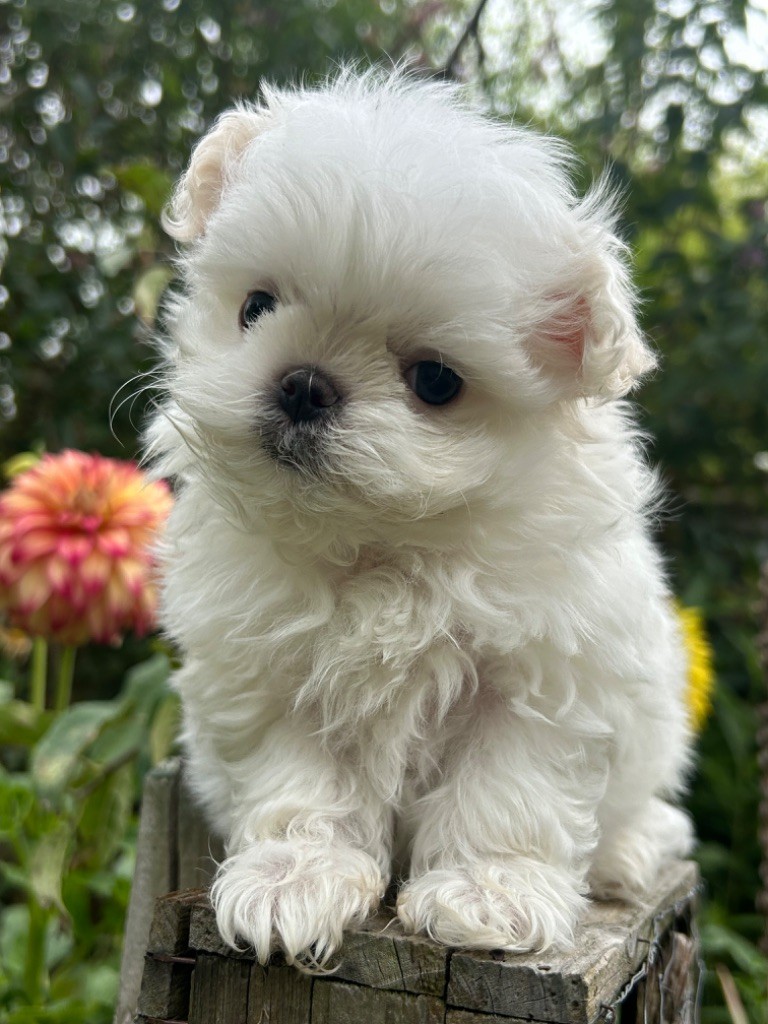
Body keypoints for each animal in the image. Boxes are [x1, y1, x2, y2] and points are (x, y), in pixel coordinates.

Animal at [147, 70, 696, 966]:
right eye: (255, 306)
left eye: (436, 382)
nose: (304, 383)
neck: (388, 544)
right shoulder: (270, 670)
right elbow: (300, 781)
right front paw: (292, 879)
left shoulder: (544, 676)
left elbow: (506, 791)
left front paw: (488, 895)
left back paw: (628, 854)